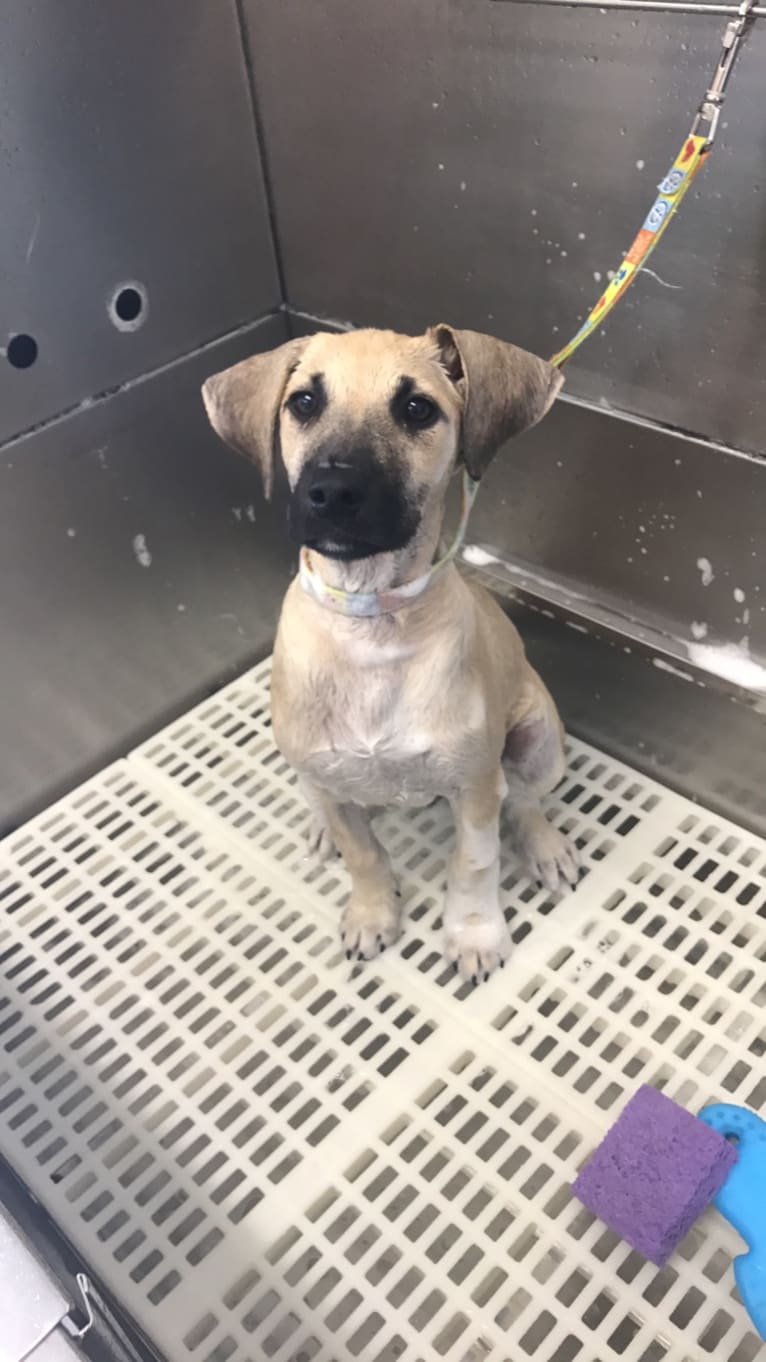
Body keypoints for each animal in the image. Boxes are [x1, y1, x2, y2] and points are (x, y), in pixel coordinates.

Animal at [200, 321, 575, 980]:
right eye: (303, 403)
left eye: (417, 408)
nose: (332, 491)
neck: (372, 624)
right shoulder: (330, 779)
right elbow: (364, 854)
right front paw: (372, 914)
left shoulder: (475, 787)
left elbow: (474, 864)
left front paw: (474, 936)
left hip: (538, 738)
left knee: (526, 799)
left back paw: (544, 845)